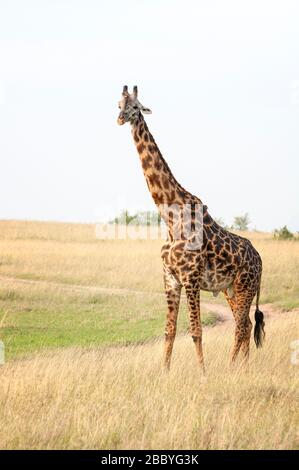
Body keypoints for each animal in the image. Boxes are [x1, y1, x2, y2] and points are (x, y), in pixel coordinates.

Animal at [117, 85, 264, 370]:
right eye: (118, 104)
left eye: (136, 106)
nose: (120, 119)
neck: (170, 218)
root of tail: (261, 261)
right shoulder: (170, 278)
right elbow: (169, 331)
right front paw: (164, 371)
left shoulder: (191, 278)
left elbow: (196, 331)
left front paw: (203, 373)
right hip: (231, 288)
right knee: (246, 323)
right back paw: (243, 366)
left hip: (245, 286)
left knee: (242, 325)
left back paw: (231, 367)